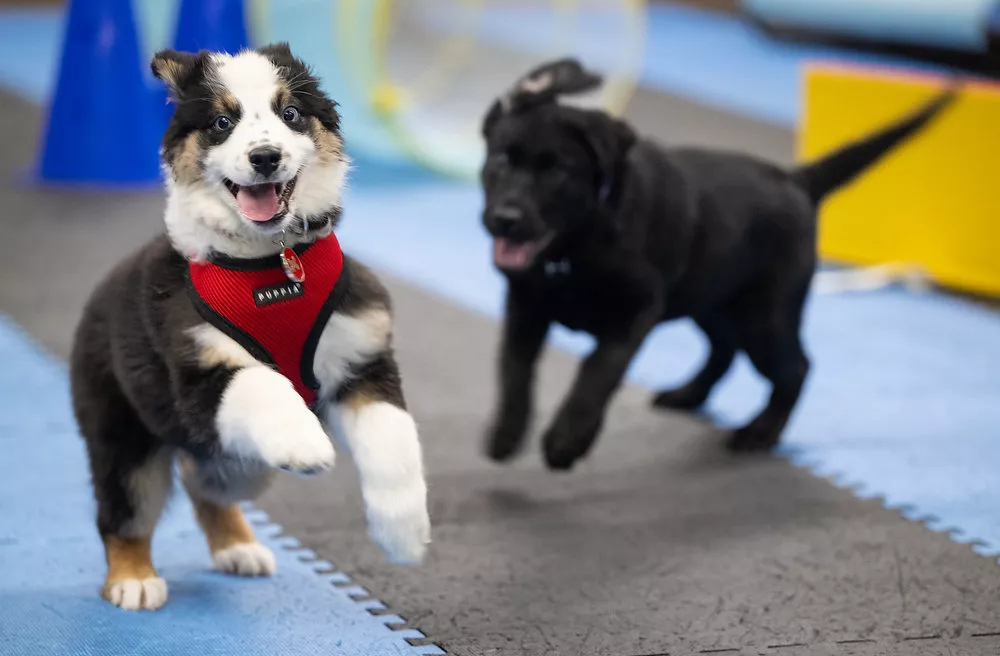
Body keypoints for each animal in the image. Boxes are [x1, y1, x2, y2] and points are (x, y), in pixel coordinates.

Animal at [70, 43, 430, 612]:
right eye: (222, 122)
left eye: (291, 114)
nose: (265, 157)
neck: (271, 264)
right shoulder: (198, 375)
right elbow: (264, 383)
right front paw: (306, 444)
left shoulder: (363, 358)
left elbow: (394, 441)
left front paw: (405, 534)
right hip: (124, 431)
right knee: (125, 509)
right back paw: (133, 578)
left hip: (241, 466)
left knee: (204, 480)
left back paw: (238, 547)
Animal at [480, 56, 956, 466]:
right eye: (501, 159)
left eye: (556, 171)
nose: (505, 219)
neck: (571, 250)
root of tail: (796, 180)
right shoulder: (524, 307)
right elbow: (513, 369)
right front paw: (506, 433)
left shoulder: (637, 308)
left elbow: (598, 370)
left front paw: (567, 441)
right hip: (711, 299)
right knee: (725, 349)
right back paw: (688, 395)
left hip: (765, 316)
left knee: (796, 368)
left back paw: (760, 432)